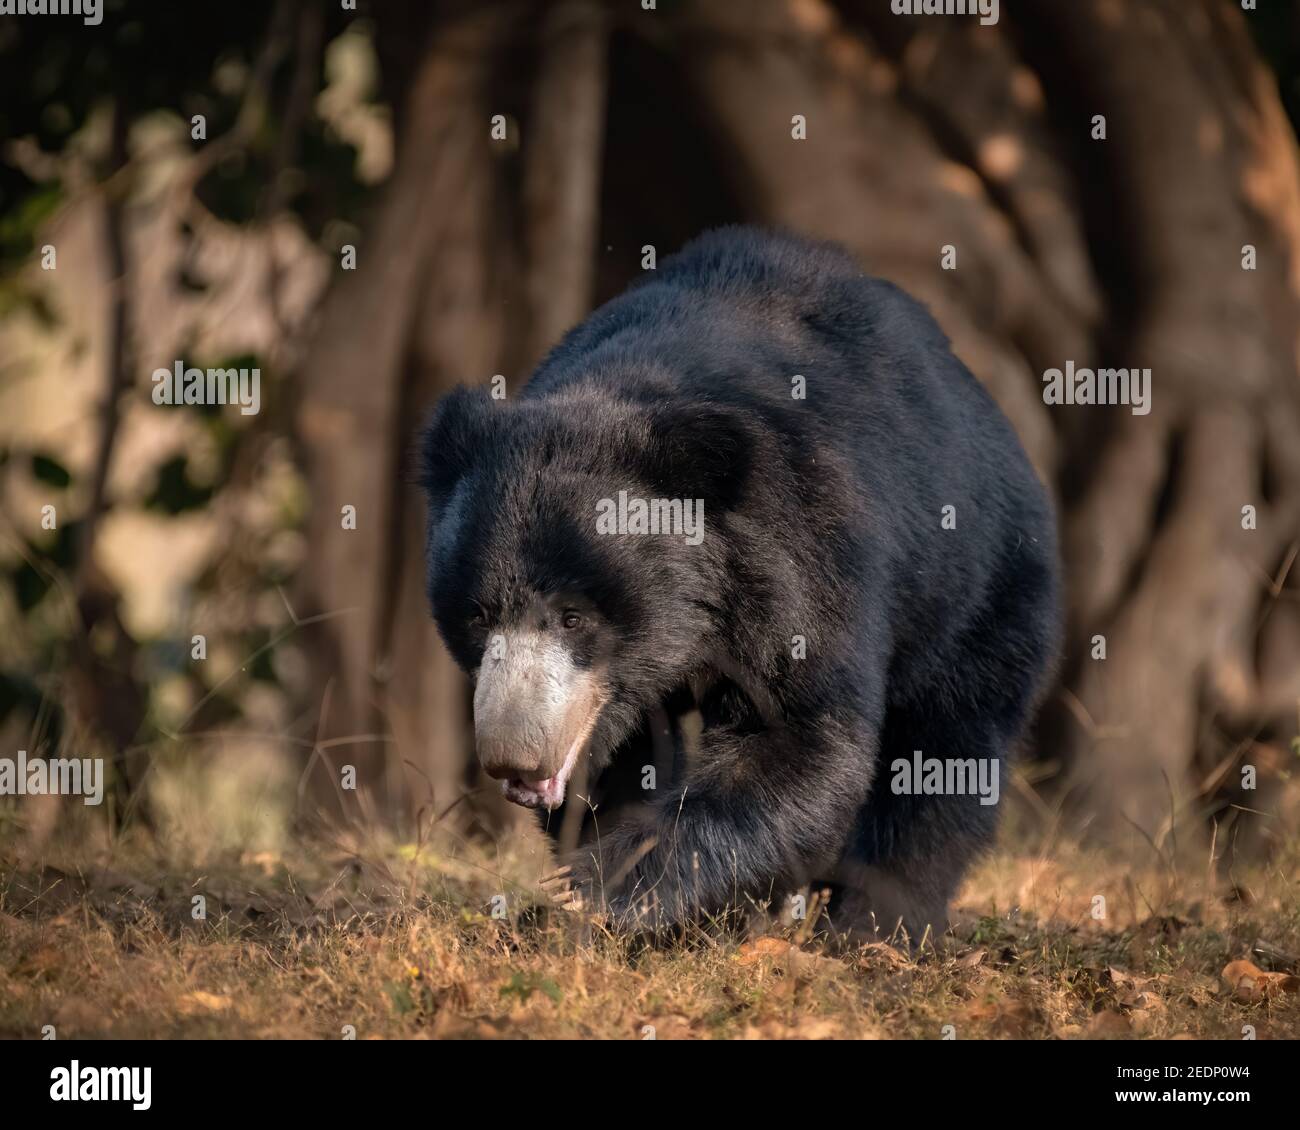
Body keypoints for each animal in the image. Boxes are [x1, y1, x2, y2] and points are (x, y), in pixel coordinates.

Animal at [421, 224, 1060, 941]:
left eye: (573, 616)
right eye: (478, 616)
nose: (516, 758)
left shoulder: (805, 553)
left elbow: (799, 735)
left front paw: (604, 888)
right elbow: (624, 759)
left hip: (981, 589)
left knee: (945, 750)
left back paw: (877, 924)